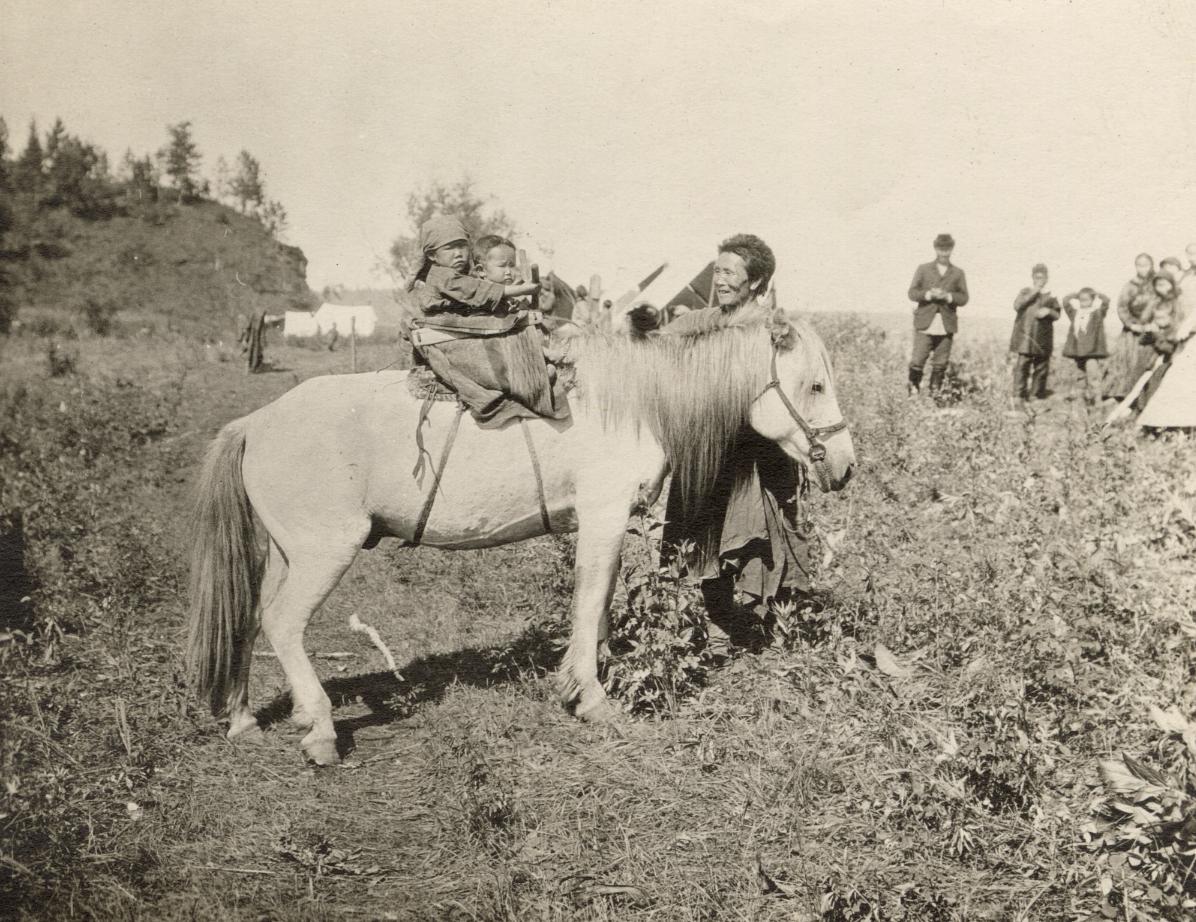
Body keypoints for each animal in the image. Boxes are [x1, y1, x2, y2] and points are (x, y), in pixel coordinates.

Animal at [186, 310, 856, 765]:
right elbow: (589, 600)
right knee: (282, 623)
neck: (634, 400)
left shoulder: (602, 523)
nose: (847, 467)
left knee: (251, 615)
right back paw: (321, 728)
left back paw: (247, 717)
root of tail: (257, 421)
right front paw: (590, 696)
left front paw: (596, 672)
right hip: (324, 552)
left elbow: (600, 601)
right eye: (816, 386)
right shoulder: (605, 515)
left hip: (287, 553)